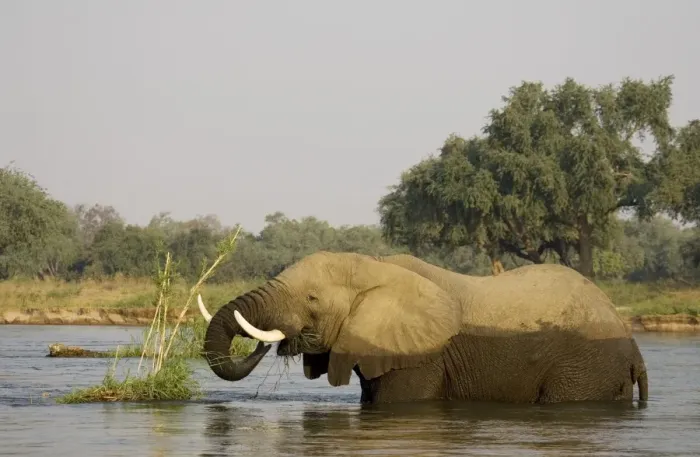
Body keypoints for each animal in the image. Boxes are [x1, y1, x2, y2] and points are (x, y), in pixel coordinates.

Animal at [197, 251, 648, 405]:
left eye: (311, 299)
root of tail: (634, 349)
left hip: (585, 368)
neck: (376, 264)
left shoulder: (420, 357)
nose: (264, 344)